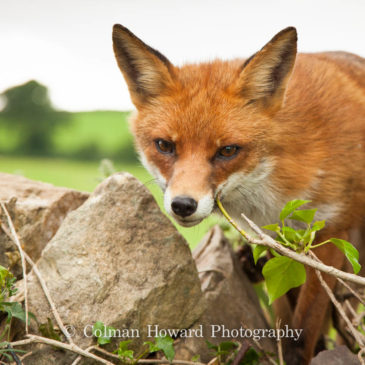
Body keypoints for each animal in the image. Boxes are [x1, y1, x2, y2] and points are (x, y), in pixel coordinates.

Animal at [112, 24, 364, 362]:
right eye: (164, 145)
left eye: (227, 151)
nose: (183, 205)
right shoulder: (277, 243)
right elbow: (286, 314)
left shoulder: (330, 235)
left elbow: (303, 332)